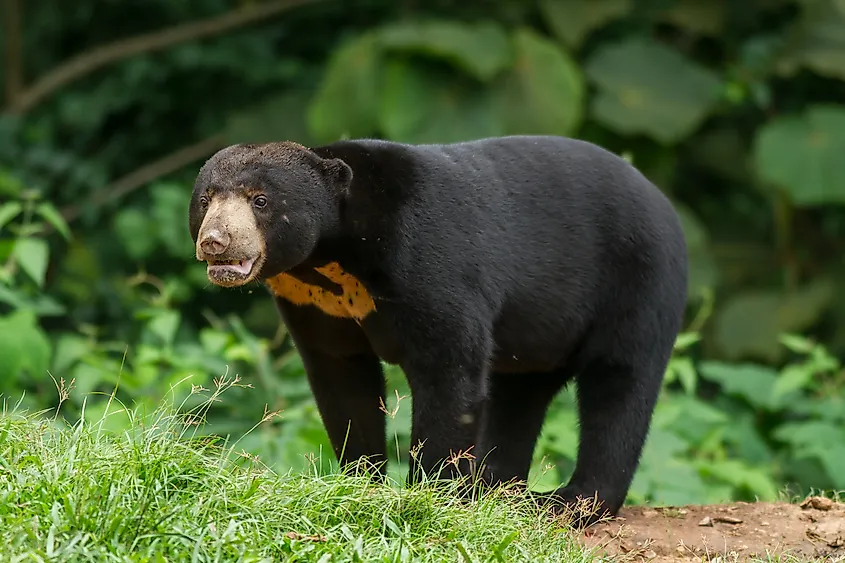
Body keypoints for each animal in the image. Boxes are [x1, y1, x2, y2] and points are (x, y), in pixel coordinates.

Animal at [188, 135, 688, 526]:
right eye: (206, 200)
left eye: (261, 200)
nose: (215, 242)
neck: (333, 258)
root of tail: (663, 200)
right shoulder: (311, 301)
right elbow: (342, 380)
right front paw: (361, 481)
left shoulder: (429, 260)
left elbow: (448, 370)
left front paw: (431, 495)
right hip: (541, 331)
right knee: (520, 393)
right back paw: (497, 488)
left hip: (638, 282)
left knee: (619, 384)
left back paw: (568, 503)